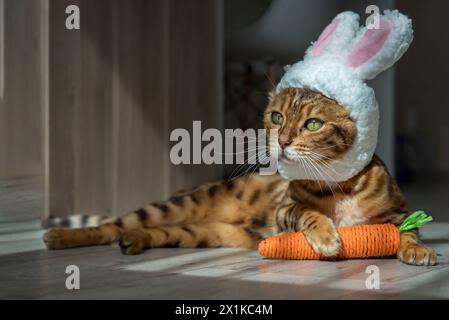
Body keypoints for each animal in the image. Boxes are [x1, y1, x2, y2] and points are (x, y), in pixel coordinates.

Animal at [43, 87, 436, 264]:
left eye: (313, 124)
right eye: (277, 117)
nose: (282, 140)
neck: (338, 185)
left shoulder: (398, 211)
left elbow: (409, 229)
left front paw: (417, 249)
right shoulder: (285, 209)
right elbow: (308, 212)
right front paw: (327, 237)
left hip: (204, 234)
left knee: (157, 231)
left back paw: (134, 241)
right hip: (178, 206)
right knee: (112, 225)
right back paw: (60, 236)